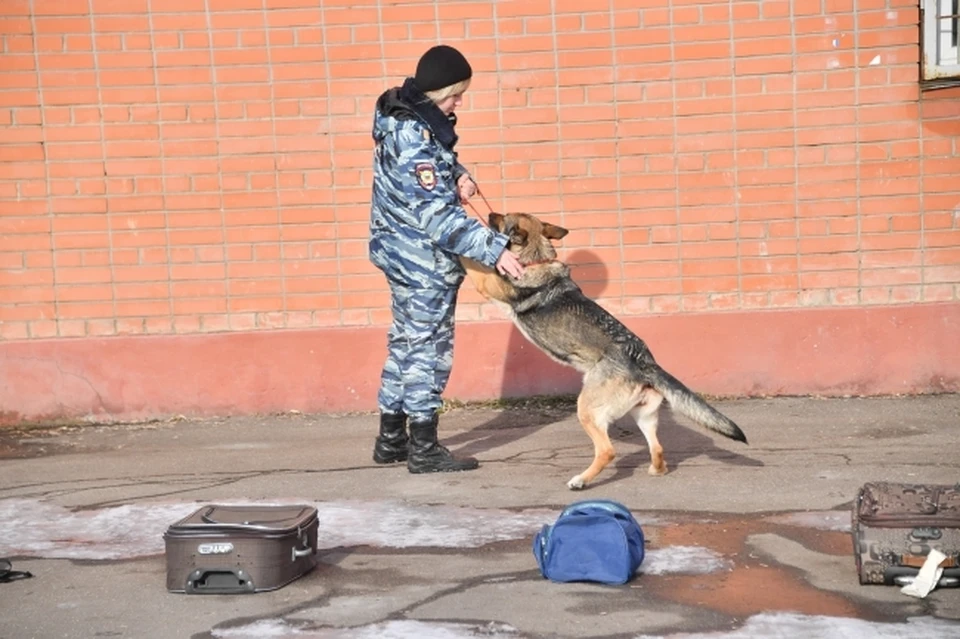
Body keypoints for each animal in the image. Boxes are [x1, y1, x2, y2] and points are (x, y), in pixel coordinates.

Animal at [464, 214, 752, 490]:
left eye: (502, 218)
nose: (488, 212)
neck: (537, 258)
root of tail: (644, 360)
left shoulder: (488, 283)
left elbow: (471, 264)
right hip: (643, 415)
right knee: (657, 448)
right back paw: (655, 469)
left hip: (587, 410)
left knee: (607, 451)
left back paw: (581, 481)